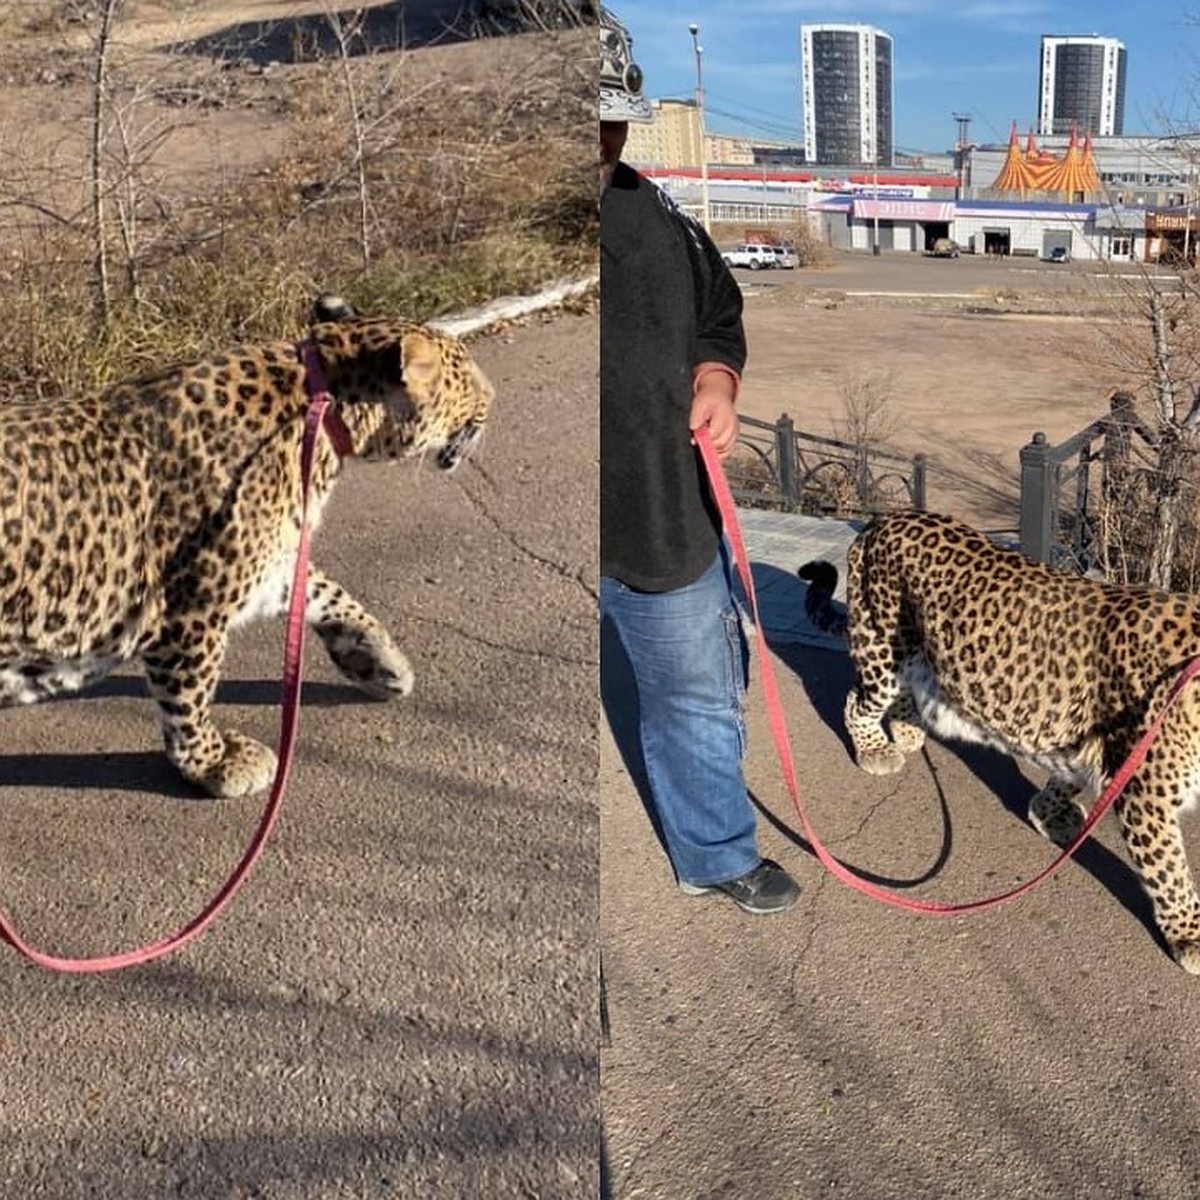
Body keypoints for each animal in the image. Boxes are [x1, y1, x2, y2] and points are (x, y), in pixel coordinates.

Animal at [0, 291, 492, 801]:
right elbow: (189, 693)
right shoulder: (191, 607)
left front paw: (378, 660)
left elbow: (326, 592)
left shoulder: (267, 566)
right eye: (468, 376)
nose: (493, 397)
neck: (325, 403)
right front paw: (212, 763)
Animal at [801, 508, 1200, 974]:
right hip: (882, 647)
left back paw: (909, 731)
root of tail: (880, 520)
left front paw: (1048, 813)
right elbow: (1171, 873)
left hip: (913, 652)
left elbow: (1065, 774)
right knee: (857, 699)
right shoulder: (1145, 799)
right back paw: (874, 749)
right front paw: (1191, 935)